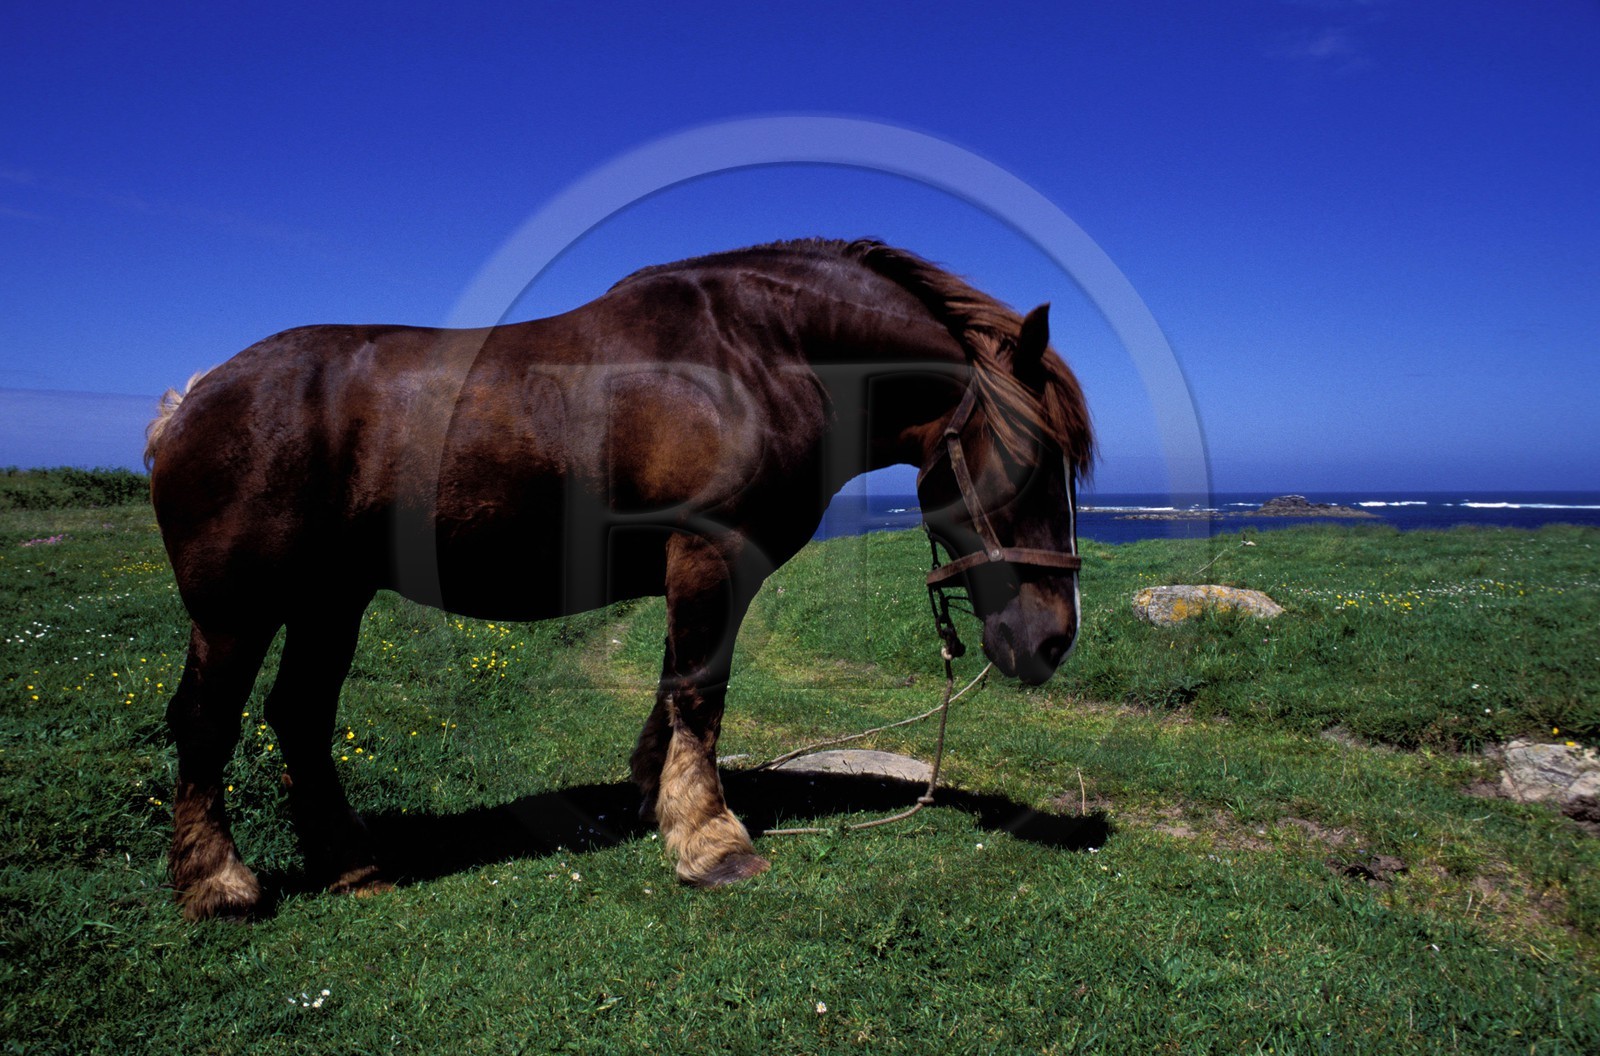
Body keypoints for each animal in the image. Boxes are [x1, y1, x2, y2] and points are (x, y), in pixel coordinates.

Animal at [144, 238, 1093, 919]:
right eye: (1032, 461)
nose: (1053, 638)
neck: (762, 355)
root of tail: (189, 403)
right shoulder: (711, 552)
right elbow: (701, 692)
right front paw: (712, 842)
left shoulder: (698, 564)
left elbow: (674, 689)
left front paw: (656, 802)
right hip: (235, 609)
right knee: (206, 721)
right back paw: (219, 883)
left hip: (330, 599)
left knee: (299, 715)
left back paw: (352, 864)